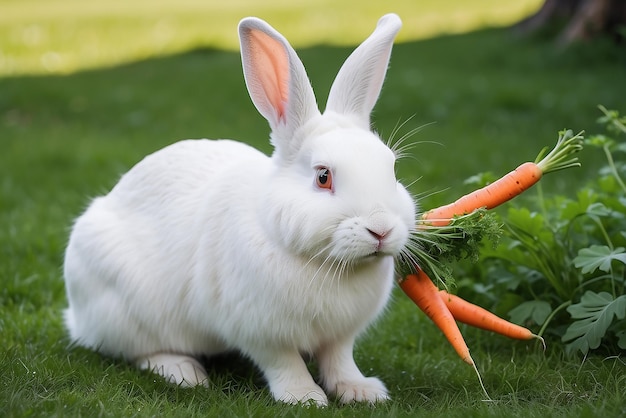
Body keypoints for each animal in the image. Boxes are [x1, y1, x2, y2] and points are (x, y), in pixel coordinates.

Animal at [64, 13, 414, 404]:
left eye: (392, 169)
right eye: (323, 177)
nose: (381, 229)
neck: (323, 263)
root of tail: (77, 318)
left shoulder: (340, 336)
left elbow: (339, 360)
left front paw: (362, 391)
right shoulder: (260, 331)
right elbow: (284, 363)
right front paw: (304, 397)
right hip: (128, 312)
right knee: (143, 351)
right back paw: (185, 373)